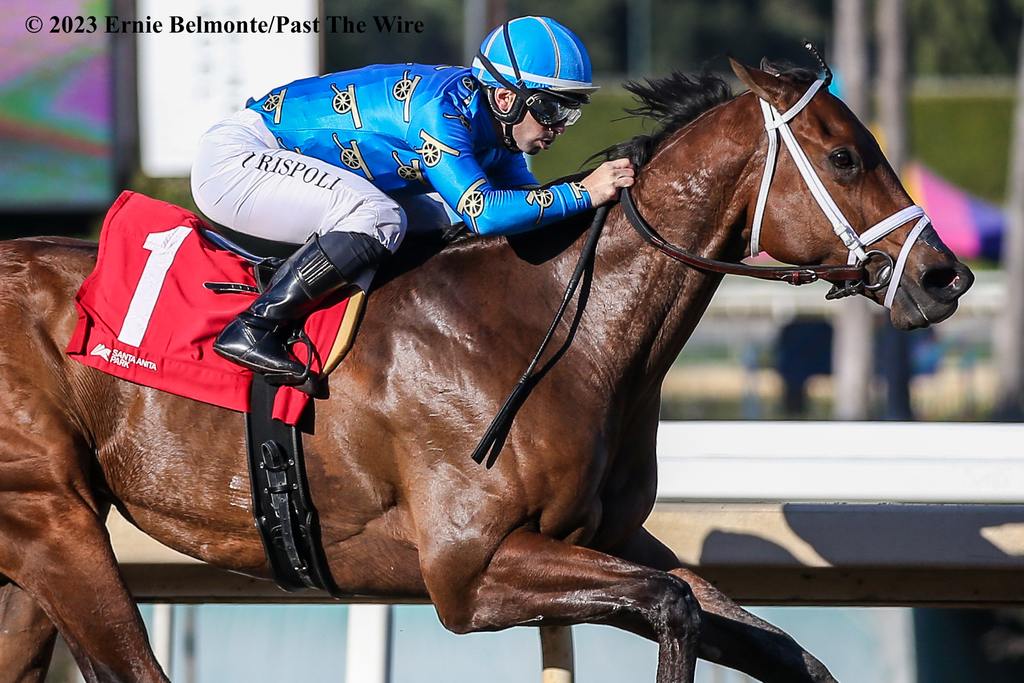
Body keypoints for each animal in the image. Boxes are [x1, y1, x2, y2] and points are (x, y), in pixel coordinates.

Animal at [0, 60, 974, 683]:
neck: (555, 331)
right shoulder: (467, 568)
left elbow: (777, 645)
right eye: (845, 155)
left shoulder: (610, 537)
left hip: (41, 549)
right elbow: (675, 607)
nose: (946, 276)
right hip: (52, 520)